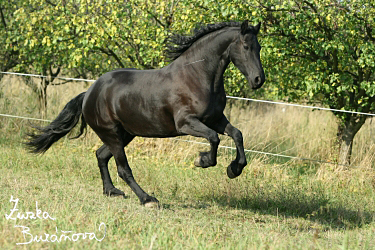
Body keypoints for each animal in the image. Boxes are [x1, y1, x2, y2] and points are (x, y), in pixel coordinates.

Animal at [26, 20, 266, 207]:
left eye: (260, 47)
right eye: (246, 46)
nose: (258, 80)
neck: (196, 75)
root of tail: (89, 93)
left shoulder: (216, 119)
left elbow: (237, 134)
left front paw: (234, 169)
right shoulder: (186, 123)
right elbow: (214, 138)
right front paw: (202, 160)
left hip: (124, 134)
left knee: (101, 155)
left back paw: (111, 192)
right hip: (112, 134)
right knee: (123, 168)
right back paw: (148, 199)